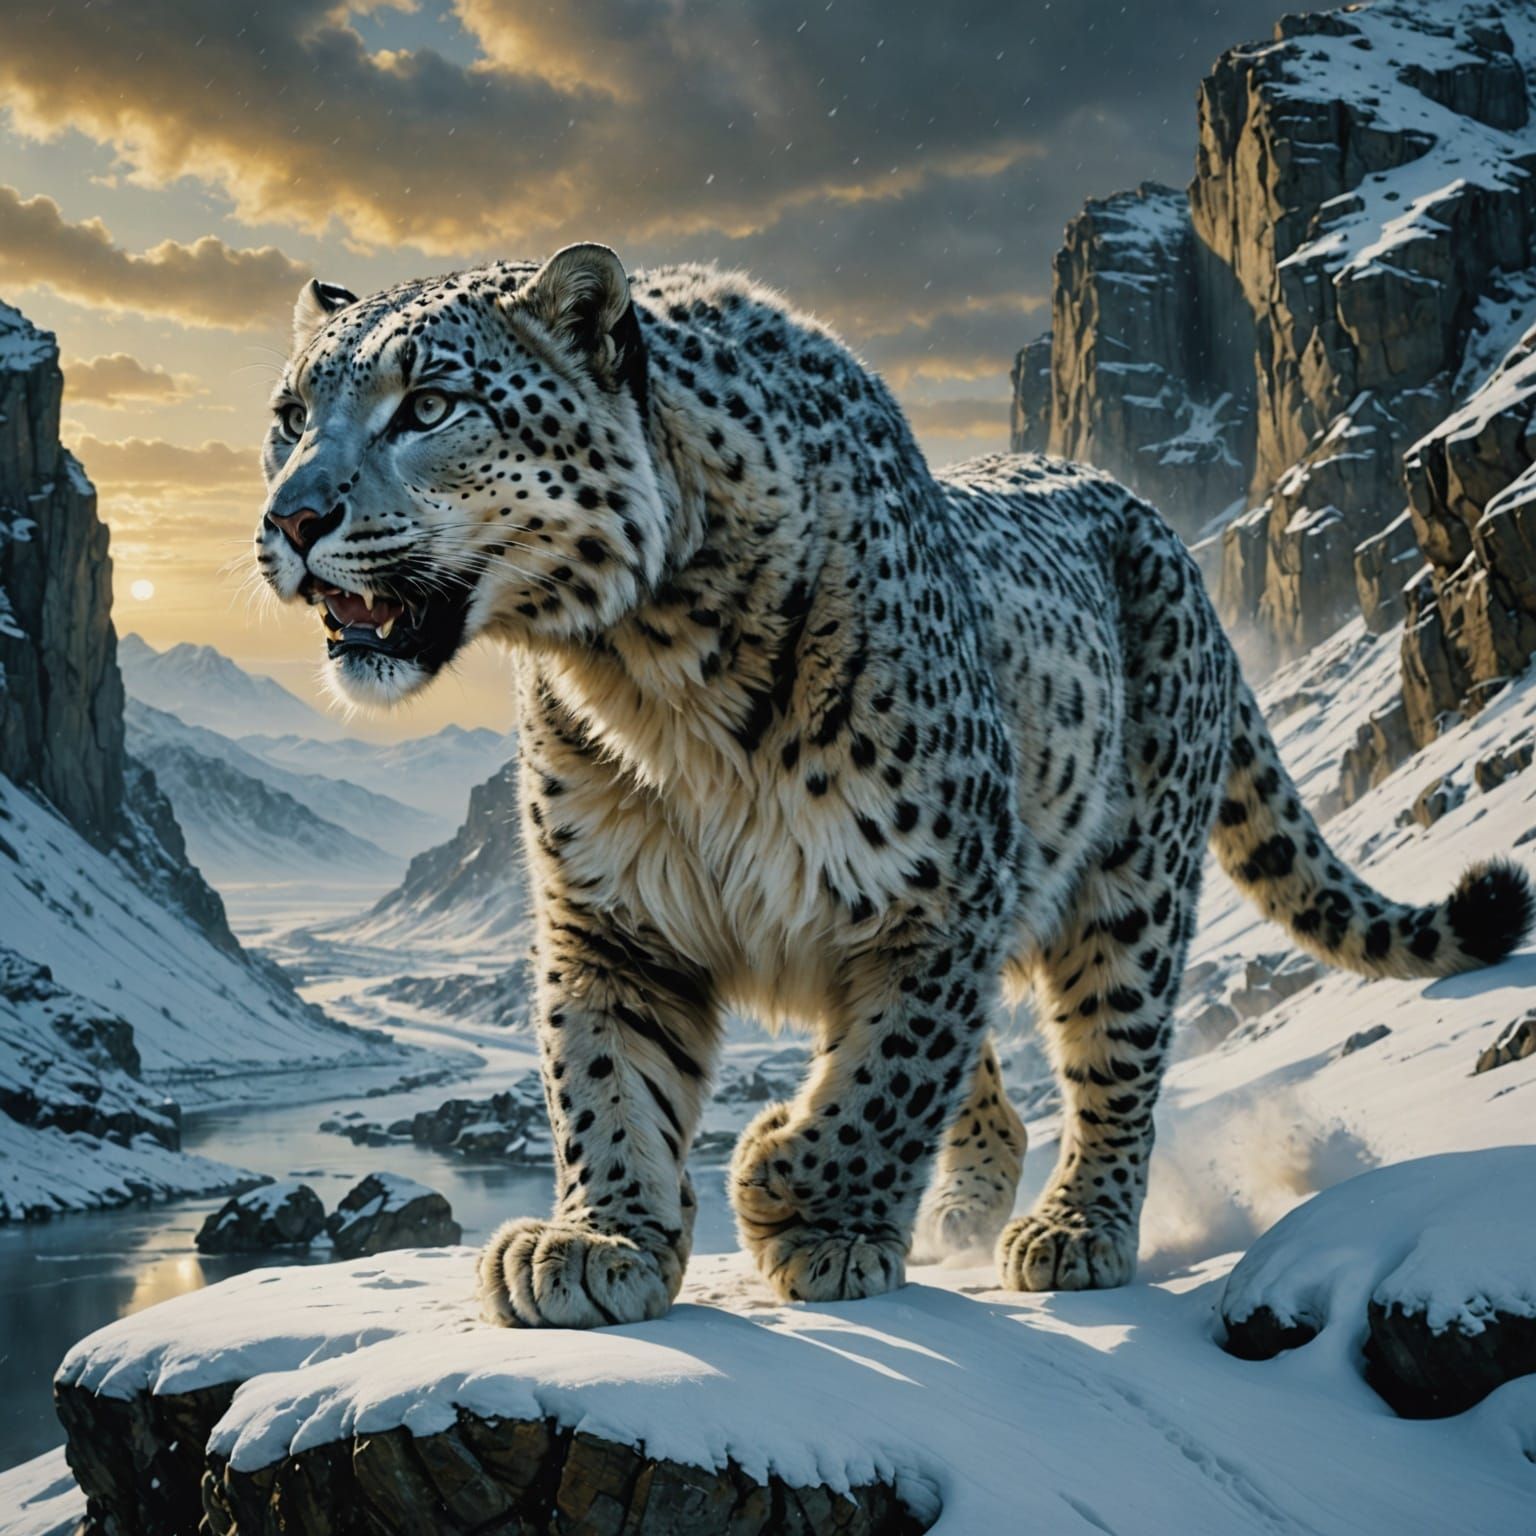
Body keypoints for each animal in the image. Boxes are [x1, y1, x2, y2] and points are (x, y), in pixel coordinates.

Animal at [255, 244, 1533, 1325]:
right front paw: (601, 1243)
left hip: (1127, 886)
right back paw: (962, 1212)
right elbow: (605, 1081)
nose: (292, 516)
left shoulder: (938, 894)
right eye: (289, 417)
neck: (646, 678)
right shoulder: (610, 915)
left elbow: (884, 1081)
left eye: (429, 405)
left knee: (1111, 1058)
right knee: (990, 1091)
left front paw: (790, 1191)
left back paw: (1073, 1231)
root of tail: (1161, 532)